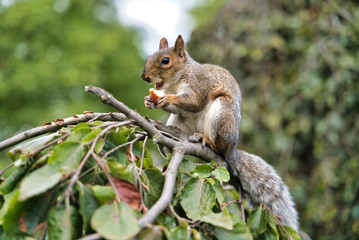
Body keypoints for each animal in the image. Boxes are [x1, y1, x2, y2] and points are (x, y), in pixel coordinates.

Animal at [141, 35, 300, 232]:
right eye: (149, 57)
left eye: (165, 61)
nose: (144, 77)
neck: (176, 82)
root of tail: (232, 150)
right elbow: (174, 107)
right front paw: (150, 101)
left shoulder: (200, 84)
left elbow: (194, 101)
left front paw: (168, 99)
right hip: (178, 121)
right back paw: (166, 143)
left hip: (222, 113)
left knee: (219, 146)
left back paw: (205, 140)